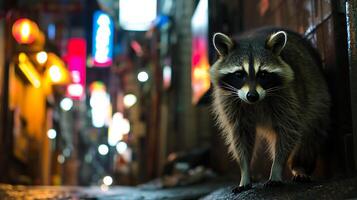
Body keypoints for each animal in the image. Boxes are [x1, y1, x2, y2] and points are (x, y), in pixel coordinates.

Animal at [210, 28, 330, 192]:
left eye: (263, 74)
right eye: (239, 74)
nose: (252, 96)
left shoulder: (289, 97)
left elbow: (288, 131)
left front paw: (277, 168)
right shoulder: (230, 102)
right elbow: (241, 137)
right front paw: (245, 171)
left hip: (317, 98)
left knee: (309, 135)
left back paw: (300, 166)